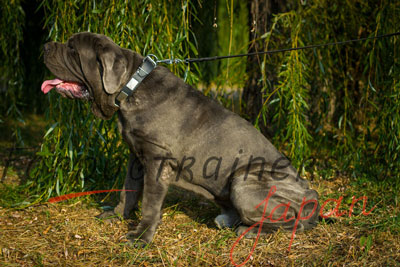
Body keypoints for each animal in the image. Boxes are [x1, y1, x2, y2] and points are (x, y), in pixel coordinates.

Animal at [42, 32, 320, 246]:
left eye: (72, 49)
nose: (45, 46)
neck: (131, 87)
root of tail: (311, 197)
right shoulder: (136, 156)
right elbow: (128, 190)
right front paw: (117, 215)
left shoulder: (156, 160)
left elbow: (150, 202)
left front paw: (140, 237)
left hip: (244, 182)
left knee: (291, 222)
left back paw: (250, 231)